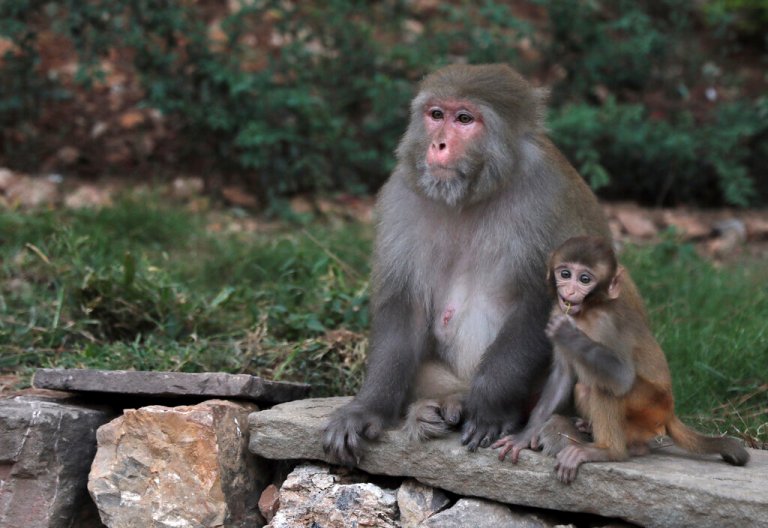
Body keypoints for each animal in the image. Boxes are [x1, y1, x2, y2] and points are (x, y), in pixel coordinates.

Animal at [322, 64, 612, 467]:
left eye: (464, 119)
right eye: (436, 115)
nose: (438, 144)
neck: (473, 195)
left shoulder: (546, 195)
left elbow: (546, 302)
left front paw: (488, 408)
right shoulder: (403, 193)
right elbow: (404, 306)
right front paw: (367, 409)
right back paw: (443, 404)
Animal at [493, 236, 750, 483]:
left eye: (584, 279)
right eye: (565, 274)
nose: (570, 291)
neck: (586, 313)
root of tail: (670, 412)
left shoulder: (607, 325)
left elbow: (621, 376)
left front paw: (569, 334)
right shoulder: (558, 310)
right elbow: (562, 376)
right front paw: (524, 436)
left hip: (652, 404)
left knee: (604, 387)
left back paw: (608, 451)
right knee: (583, 388)